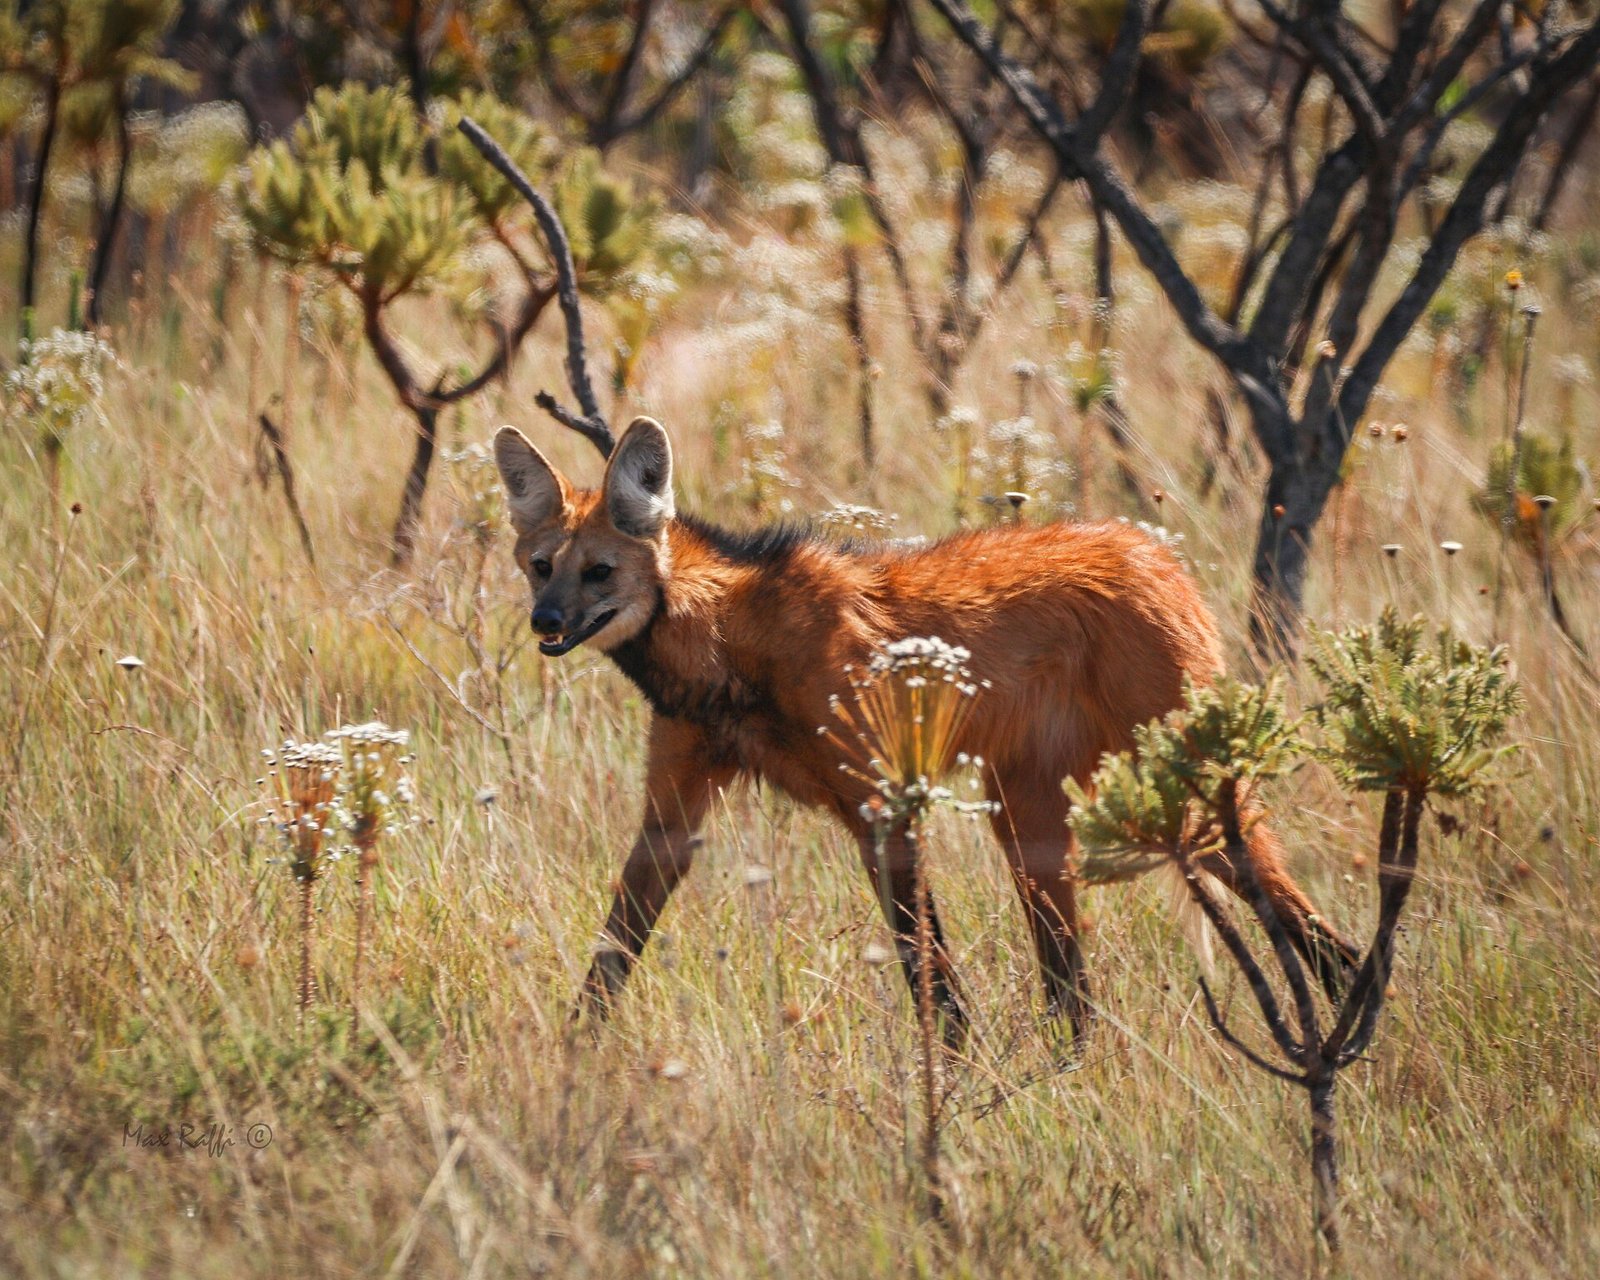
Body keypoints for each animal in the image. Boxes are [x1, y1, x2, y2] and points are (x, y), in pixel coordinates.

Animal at [495, 415, 1356, 1043]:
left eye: (599, 572)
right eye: (540, 567)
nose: (545, 622)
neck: (727, 650)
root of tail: (1156, 553)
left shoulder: (884, 804)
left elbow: (925, 964)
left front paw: (953, 1062)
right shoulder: (673, 811)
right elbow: (614, 947)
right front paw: (576, 1056)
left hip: (1183, 796)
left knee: (1310, 929)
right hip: (1035, 821)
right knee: (1072, 984)